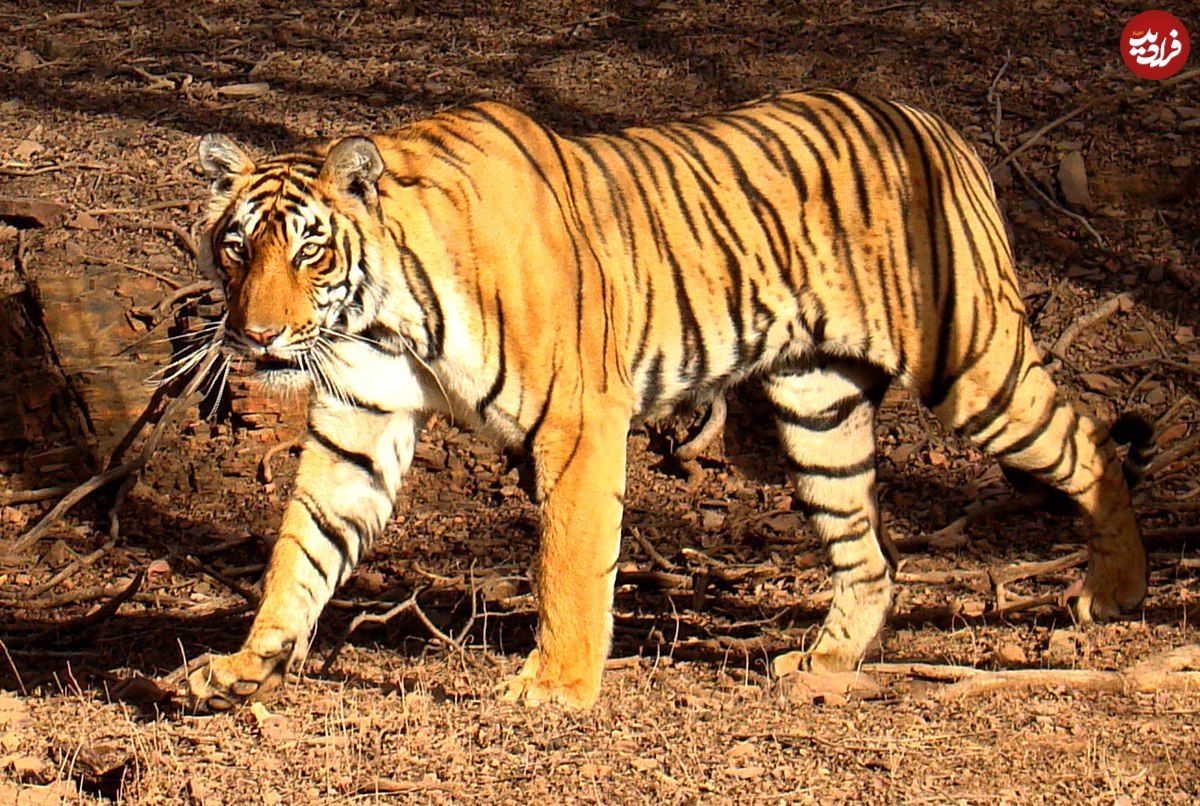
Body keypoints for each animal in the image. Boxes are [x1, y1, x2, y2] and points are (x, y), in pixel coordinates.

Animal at [182, 89, 1156, 710]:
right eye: (236, 247)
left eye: (309, 250)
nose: (257, 336)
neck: (382, 317)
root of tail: (934, 123)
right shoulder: (362, 419)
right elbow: (301, 551)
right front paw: (243, 666)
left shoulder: (577, 419)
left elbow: (570, 560)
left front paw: (556, 688)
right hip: (819, 409)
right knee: (869, 555)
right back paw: (827, 660)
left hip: (971, 363)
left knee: (1089, 444)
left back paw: (1117, 592)